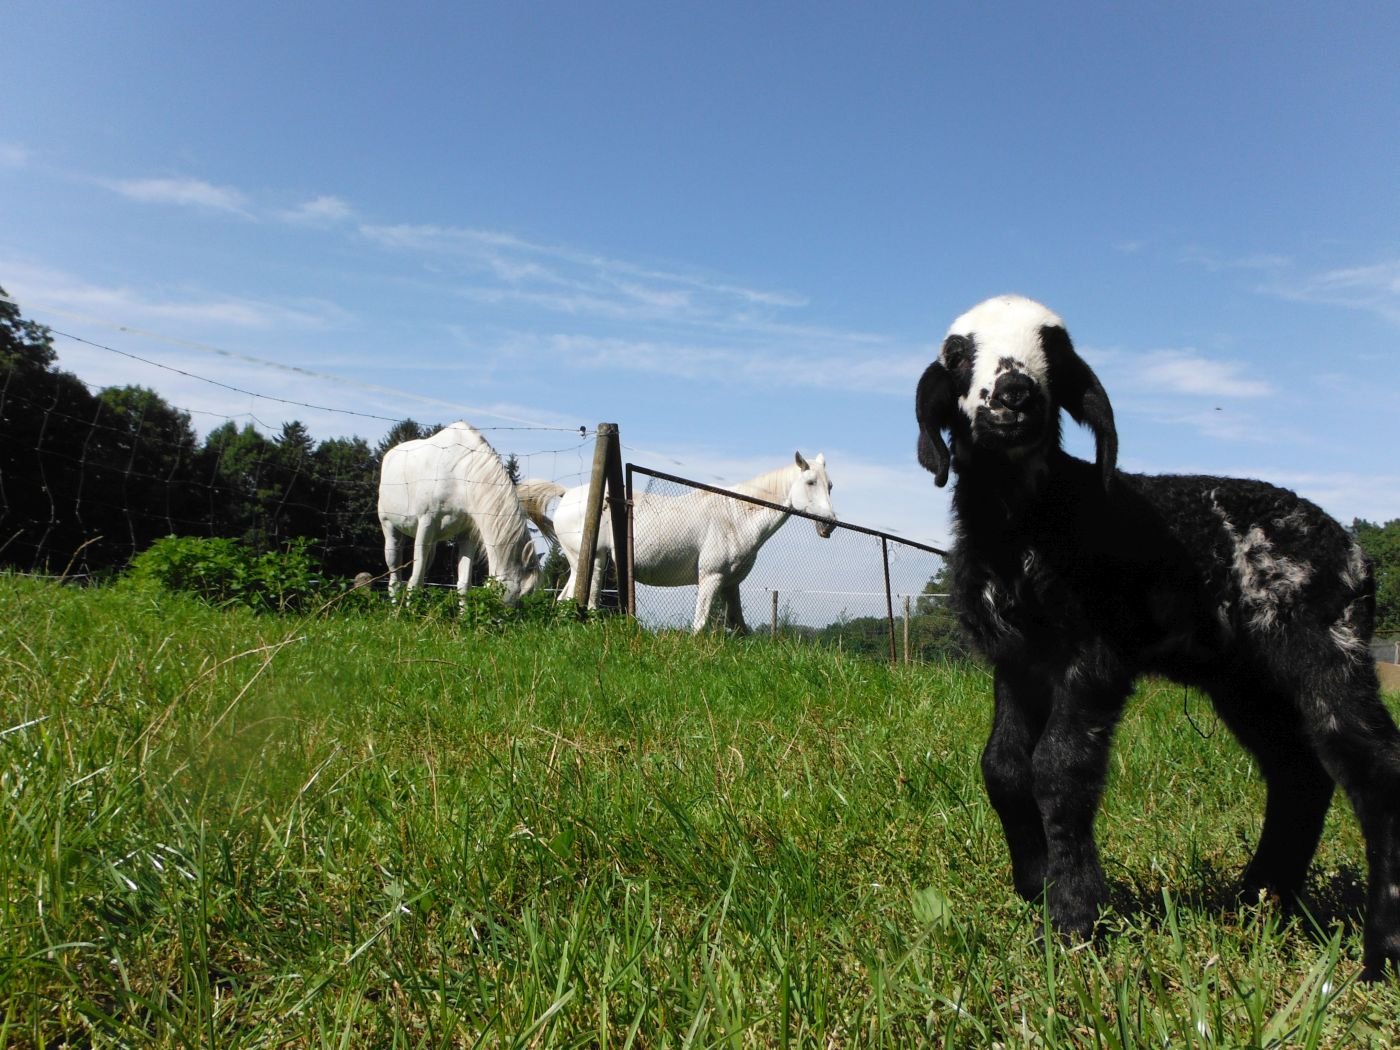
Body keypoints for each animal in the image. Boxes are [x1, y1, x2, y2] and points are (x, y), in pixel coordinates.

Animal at [377, 422, 541, 604]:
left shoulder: (467, 534)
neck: (460, 475)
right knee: (394, 579)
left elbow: (463, 586)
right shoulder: (426, 524)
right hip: (389, 528)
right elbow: (415, 581)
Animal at [518, 452, 836, 632]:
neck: (734, 515)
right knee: (586, 603)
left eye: (830, 485)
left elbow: (740, 628)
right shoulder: (710, 578)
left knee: (564, 601)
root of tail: (567, 494)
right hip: (594, 562)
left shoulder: (731, 585)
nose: (829, 523)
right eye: (810, 482)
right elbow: (700, 625)